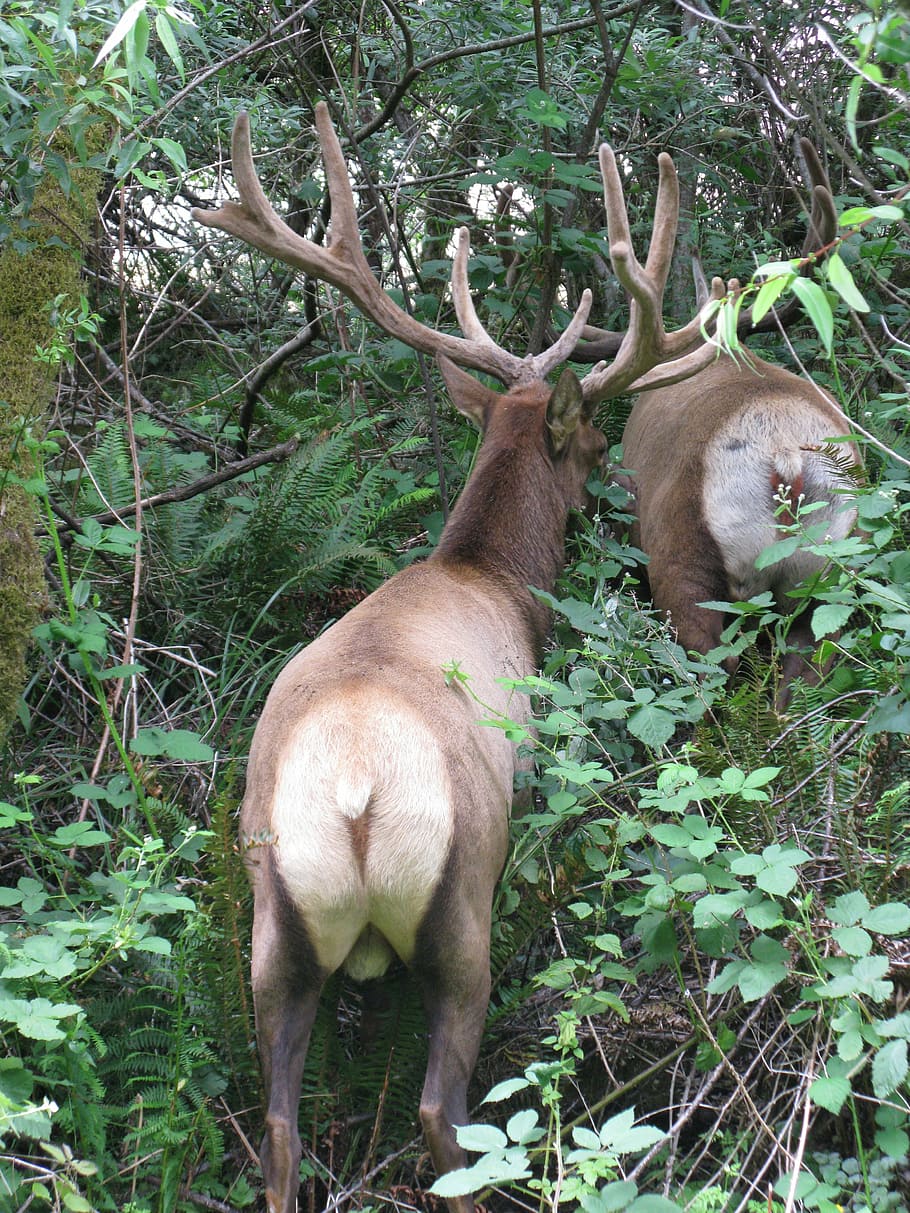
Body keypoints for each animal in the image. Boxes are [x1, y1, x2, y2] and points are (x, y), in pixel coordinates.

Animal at [193, 102, 721, 1213]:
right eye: (593, 436)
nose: (612, 483)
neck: (490, 576)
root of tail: (353, 795)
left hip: (271, 930)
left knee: (278, 1130)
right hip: (462, 896)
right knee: (447, 1116)